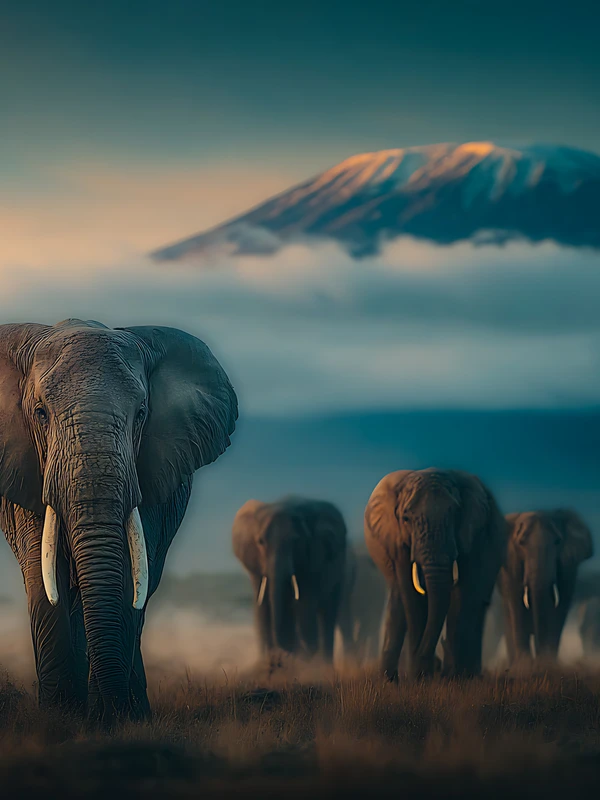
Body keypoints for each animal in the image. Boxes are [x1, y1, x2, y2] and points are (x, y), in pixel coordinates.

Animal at [0, 319, 237, 724]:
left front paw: (110, 719)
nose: (110, 710)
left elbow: (128, 573)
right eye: (40, 412)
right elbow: (42, 576)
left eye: (141, 412)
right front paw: (60, 719)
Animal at [232, 497, 347, 662]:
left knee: (328, 614)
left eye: (296, 541)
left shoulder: (314, 558)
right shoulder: (255, 565)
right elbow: (263, 607)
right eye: (260, 542)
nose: (281, 653)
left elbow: (305, 604)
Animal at [364, 468, 507, 680]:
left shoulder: (474, 532)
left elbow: (464, 591)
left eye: (456, 514)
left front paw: (449, 676)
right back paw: (390, 680)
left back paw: (467, 674)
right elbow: (412, 595)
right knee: (398, 597)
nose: (436, 665)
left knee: (478, 602)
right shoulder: (396, 538)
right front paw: (420, 676)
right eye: (406, 519)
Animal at [499, 509, 593, 663]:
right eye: (521, 542)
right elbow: (516, 601)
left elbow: (562, 605)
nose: (538, 657)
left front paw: (547, 662)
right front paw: (525, 664)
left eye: (558, 541)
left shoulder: (568, 566)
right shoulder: (510, 563)